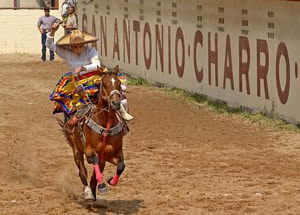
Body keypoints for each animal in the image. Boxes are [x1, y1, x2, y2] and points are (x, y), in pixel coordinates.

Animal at [58, 65, 126, 200]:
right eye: (103, 84)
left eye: (119, 83)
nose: (115, 103)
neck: (106, 127)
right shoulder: (89, 151)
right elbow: (93, 162)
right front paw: (102, 186)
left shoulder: (111, 154)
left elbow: (121, 166)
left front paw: (111, 181)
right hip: (76, 150)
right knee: (82, 172)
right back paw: (88, 192)